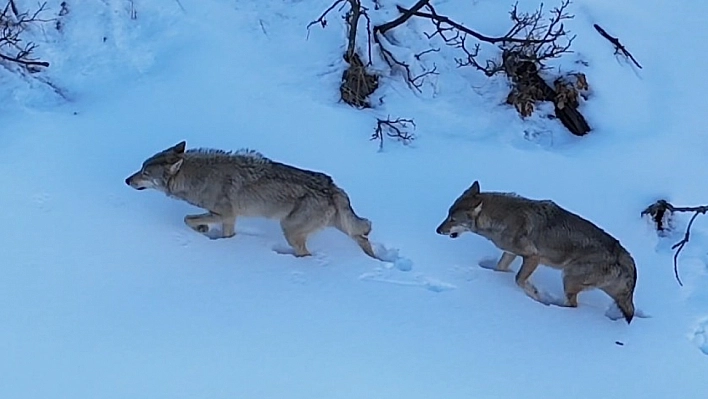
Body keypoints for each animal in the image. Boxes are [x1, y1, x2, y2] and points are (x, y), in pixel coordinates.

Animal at [123, 141, 376, 260]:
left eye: (145, 173)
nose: (126, 180)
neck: (198, 178)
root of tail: (332, 187)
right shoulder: (230, 218)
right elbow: (223, 233)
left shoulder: (224, 214)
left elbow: (187, 219)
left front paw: (203, 229)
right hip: (341, 227)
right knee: (363, 236)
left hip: (290, 230)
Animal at [434, 181, 640, 324]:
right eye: (448, 215)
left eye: (452, 219)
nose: (437, 230)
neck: (501, 220)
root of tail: (623, 254)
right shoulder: (510, 253)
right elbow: (500, 269)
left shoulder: (533, 257)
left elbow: (519, 279)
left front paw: (535, 294)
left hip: (568, 278)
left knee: (573, 306)